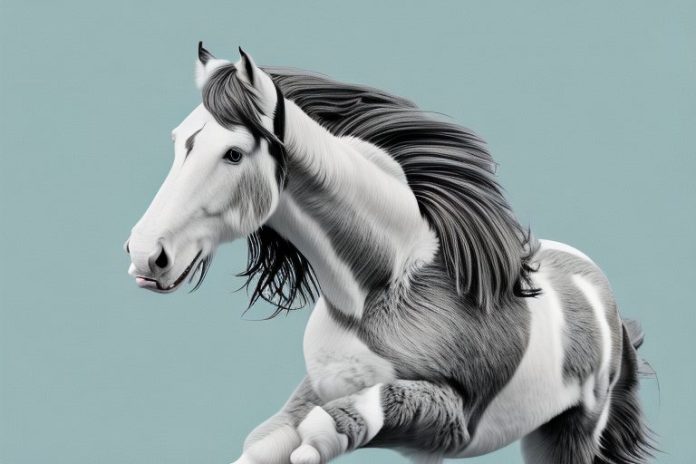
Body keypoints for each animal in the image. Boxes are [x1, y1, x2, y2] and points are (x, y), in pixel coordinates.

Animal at [125, 43, 654, 464]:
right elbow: (264, 442)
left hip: (569, 430)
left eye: (233, 153)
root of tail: (601, 292)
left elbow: (327, 429)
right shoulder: (320, 393)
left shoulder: (449, 421)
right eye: (178, 141)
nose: (147, 256)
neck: (378, 292)